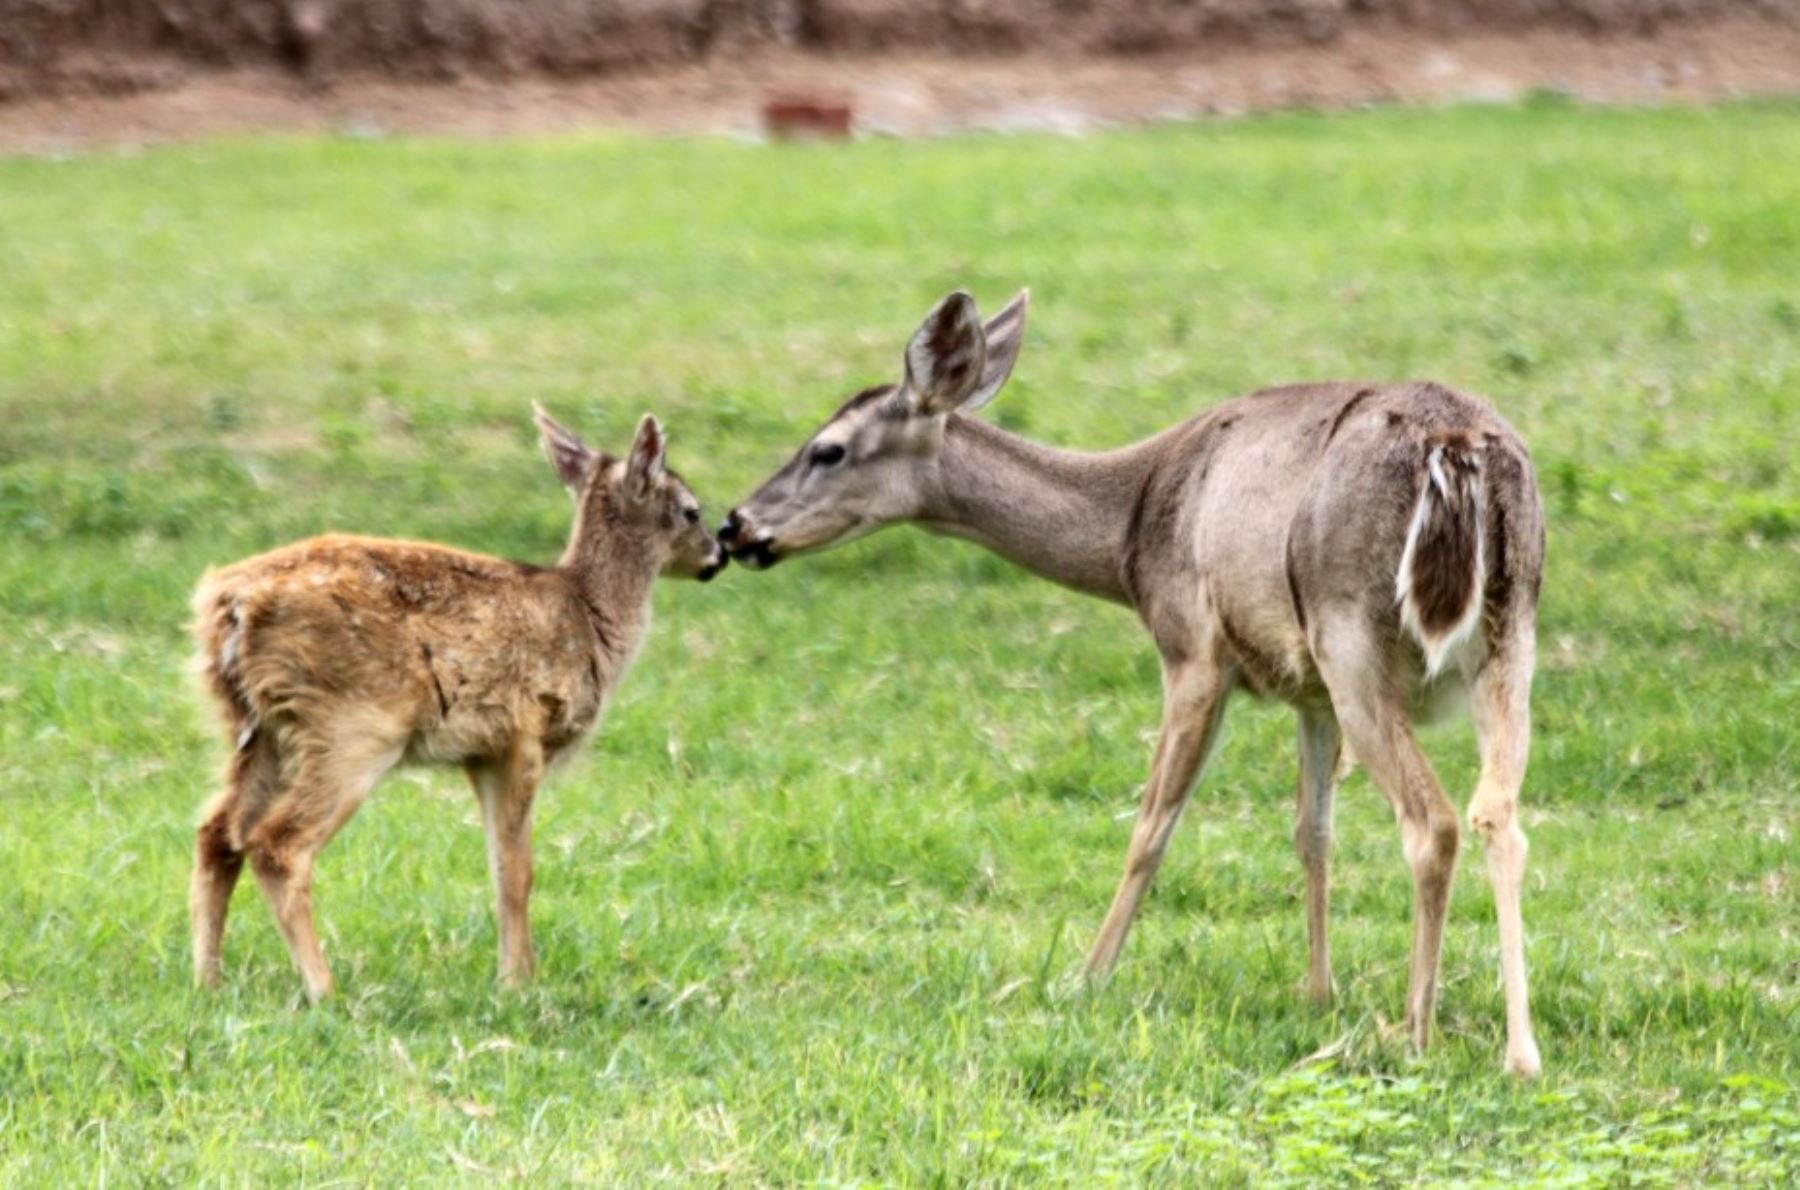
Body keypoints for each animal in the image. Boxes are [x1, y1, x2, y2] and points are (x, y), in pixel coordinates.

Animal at [723, 289, 1540, 1080]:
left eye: (827, 449)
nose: (736, 525)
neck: (1131, 532)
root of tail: (1455, 451)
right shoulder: (1306, 687)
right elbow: (1313, 833)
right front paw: (1318, 992)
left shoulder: (1193, 645)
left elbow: (1151, 827)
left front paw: (1086, 976)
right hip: (1506, 633)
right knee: (1495, 811)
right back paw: (1519, 1053)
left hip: (1354, 632)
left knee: (1433, 821)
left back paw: (1415, 1029)